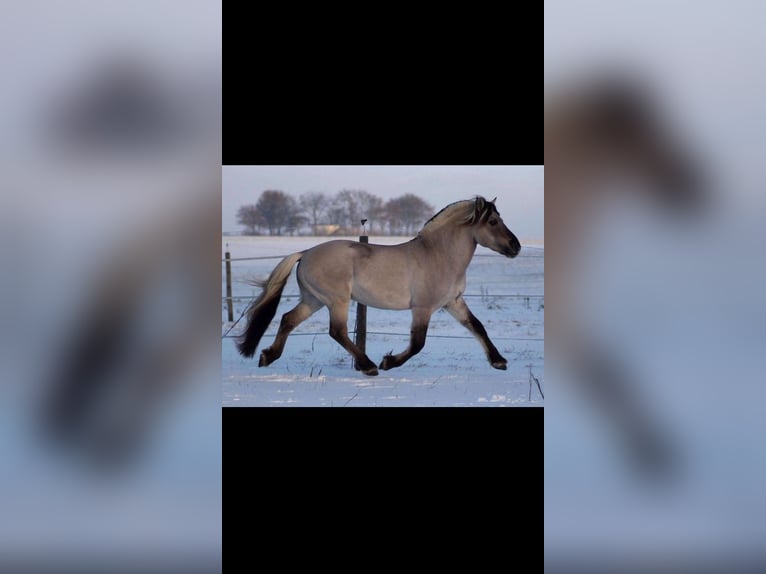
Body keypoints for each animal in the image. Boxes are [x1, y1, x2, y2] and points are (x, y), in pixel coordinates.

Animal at [236, 198, 520, 378]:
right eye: (493, 222)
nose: (515, 246)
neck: (439, 255)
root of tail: (305, 253)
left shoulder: (453, 302)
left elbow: (477, 326)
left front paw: (499, 361)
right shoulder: (423, 308)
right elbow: (418, 343)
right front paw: (388, 362)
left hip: (313, 300)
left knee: (288, 319)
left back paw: (267, 356)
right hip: (336, 300)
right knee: (337, 331)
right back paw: (368, 366)